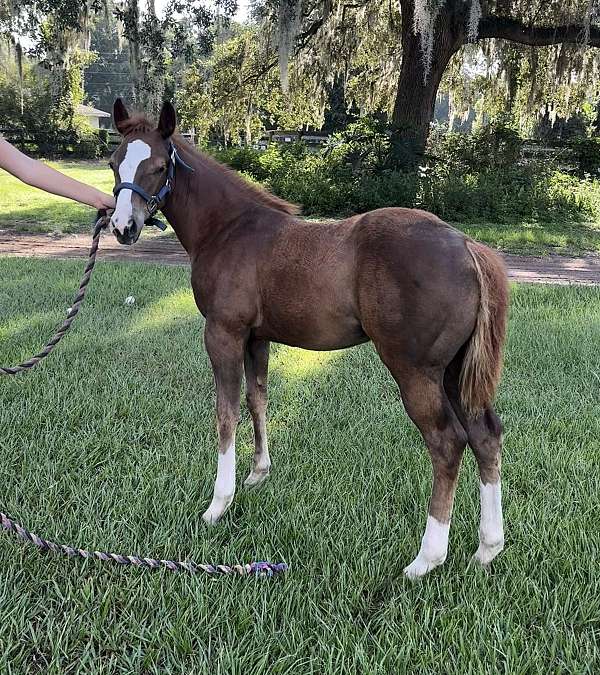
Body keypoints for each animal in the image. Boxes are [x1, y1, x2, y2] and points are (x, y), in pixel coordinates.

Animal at [107, 99, 509, 578]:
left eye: (158, 166)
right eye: (114, 163)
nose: (123, 227)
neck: (228, 228)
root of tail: (467, 246)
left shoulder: (222, 332)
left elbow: (226, 414)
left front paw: (218, 505)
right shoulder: (256, 338)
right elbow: (257, 398)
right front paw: (258, 475)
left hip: (416, 371)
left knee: (447, 442)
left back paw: (426, 560)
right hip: (454, 370)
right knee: (485, 435)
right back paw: (487, 547)